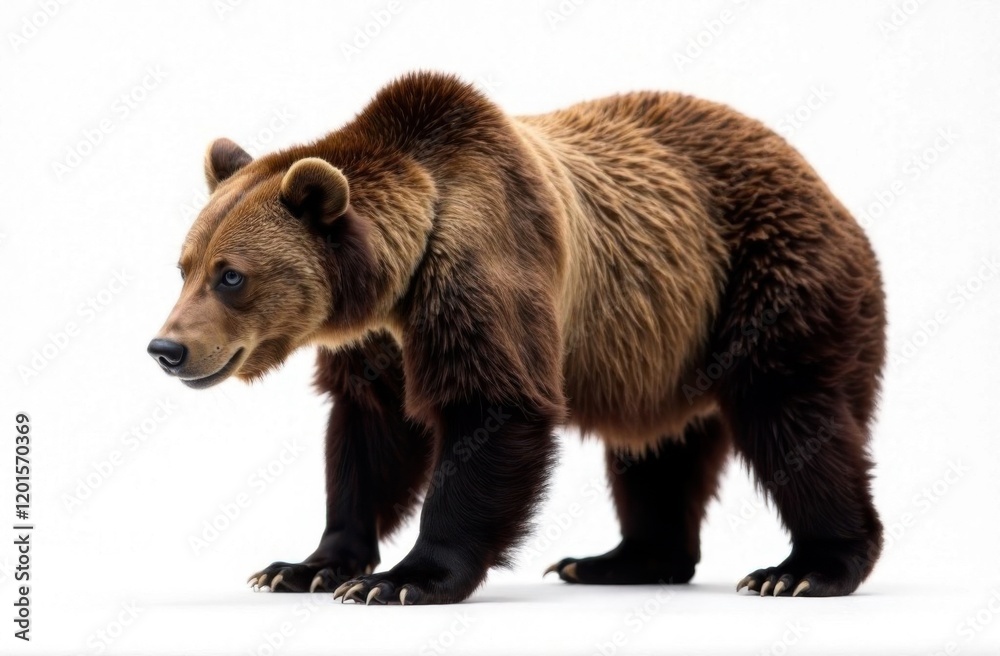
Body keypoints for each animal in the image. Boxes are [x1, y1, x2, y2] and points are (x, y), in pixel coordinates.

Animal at [148, 71, 885, 605]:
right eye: (184, 266)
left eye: (232, 275)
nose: (166, 349)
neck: (396, 284)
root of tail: (815, 174)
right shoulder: (378, 347)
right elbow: (368, 440)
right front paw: (304, 566)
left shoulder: (485, 263)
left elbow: (493, 408)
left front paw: (402, 580)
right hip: (662, 342)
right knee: (655, 448)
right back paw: (620, 559)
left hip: (769, 280)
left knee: (795, 417)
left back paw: (806, 568)